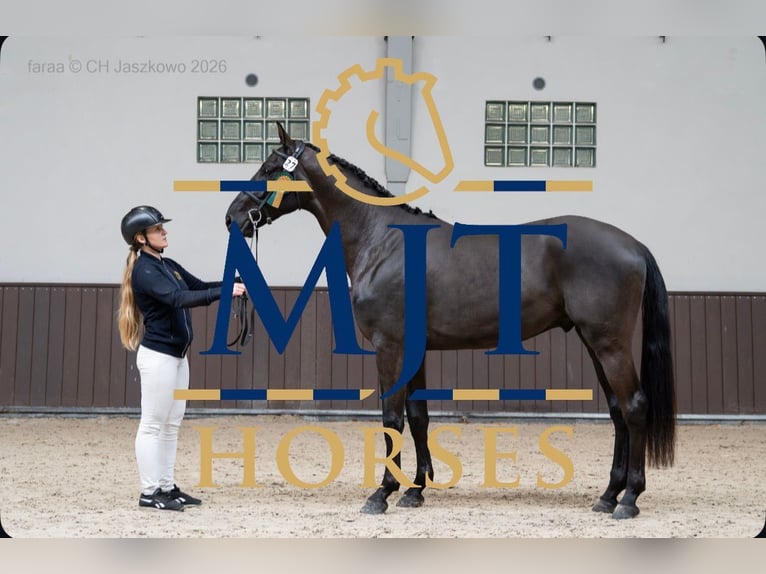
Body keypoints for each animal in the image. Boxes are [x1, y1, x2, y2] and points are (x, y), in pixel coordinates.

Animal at [225, 124, 676, 519]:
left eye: (270, 167)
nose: (233, 217)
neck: (382, 241)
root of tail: (633, 245)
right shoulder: (415, 349)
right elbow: (418, 416)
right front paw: (415, 490)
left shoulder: (390, 346)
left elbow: (392, 417)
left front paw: (382, 493)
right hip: (593, 341)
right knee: (618, 411)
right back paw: (608, 495)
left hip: (608, 343)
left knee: (634, 406)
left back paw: (629, 499)